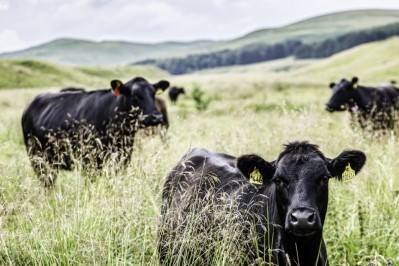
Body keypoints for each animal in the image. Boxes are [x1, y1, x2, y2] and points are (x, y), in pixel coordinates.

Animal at [22, 76, 169, 186]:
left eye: (153, 94)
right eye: (136, 95)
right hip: (37, 158)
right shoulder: (90, 163)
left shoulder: (123, 159)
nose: (157, 117)